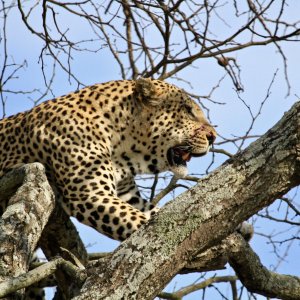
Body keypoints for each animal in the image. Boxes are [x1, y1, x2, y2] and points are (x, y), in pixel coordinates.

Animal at [0, 78, 217, 241]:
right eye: (188, 110)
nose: (213, 137)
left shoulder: (129, 196)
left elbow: (155, 212)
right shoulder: (88, 193)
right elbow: (141, 223)